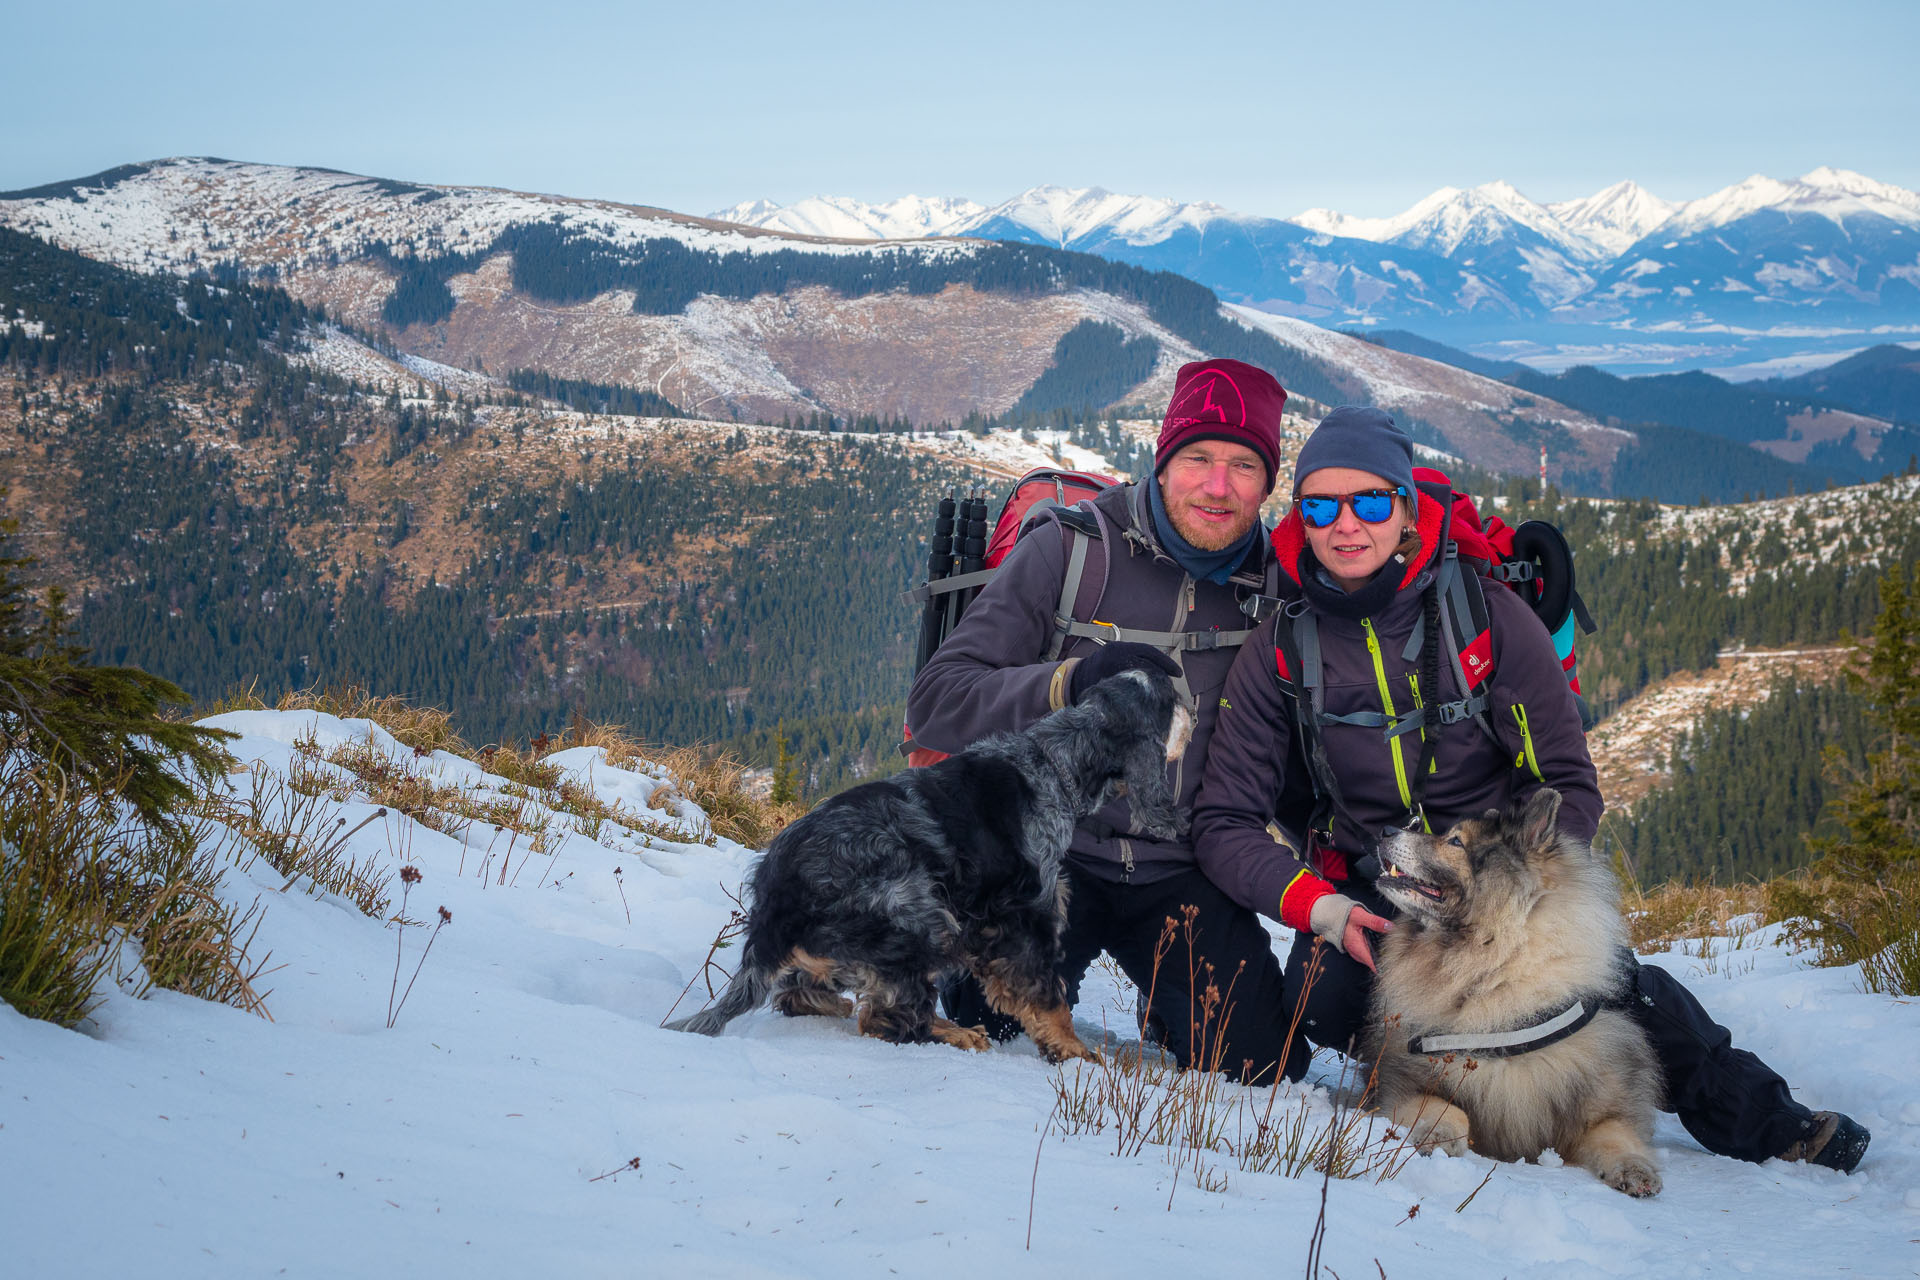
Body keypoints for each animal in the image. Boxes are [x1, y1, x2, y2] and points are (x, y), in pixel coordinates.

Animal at [668, 671, 1190, 1059]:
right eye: (1169, 699)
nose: (1198, 705)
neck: (1054, 761)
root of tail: (774, 906)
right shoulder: (1026, 915)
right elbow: (1049, 995)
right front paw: (1076, 1052)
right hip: (924, 917)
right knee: (884, 1017)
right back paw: (958, 1034)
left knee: (804, 993)